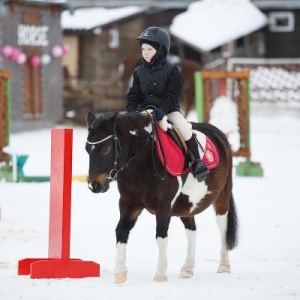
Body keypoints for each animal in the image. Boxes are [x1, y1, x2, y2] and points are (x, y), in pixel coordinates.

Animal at [85, 110, 238, 284]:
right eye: (87, 149)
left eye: (105, 149)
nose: (94, 185)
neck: (141, 164)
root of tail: (218, 133)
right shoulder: (128, 204)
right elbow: (121, 231)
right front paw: (120, 273)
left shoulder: (164, 207)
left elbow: (161, 237)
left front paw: (160, 274)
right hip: (186, 204)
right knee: (191, 231)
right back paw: (187, 269)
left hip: (222, 197)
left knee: (223, 226)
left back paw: (224, 265)